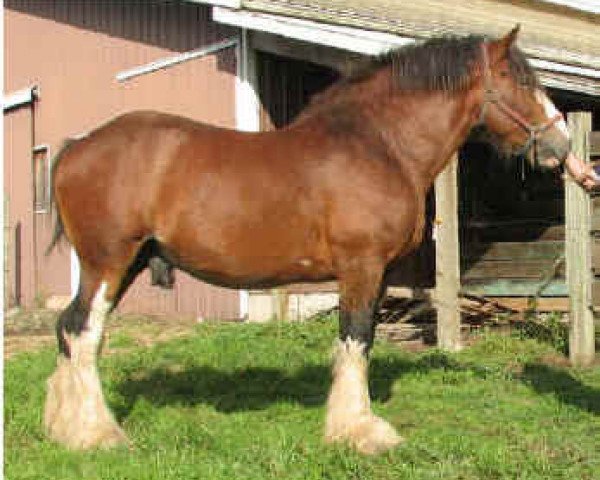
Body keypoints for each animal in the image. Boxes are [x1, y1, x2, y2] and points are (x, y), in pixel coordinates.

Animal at [43, 28, 596, 456]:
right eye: (521, 81)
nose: (562, 146)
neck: (379, 144)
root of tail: (78, 147)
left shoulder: (377, 274)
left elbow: (359, 341)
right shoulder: (361, 267)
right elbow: (356, 339)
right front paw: (360, 432)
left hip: (127, 263)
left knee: (69, 329)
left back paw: (63, 427)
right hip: (108, 262)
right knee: (83, 331)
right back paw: (97, 434)